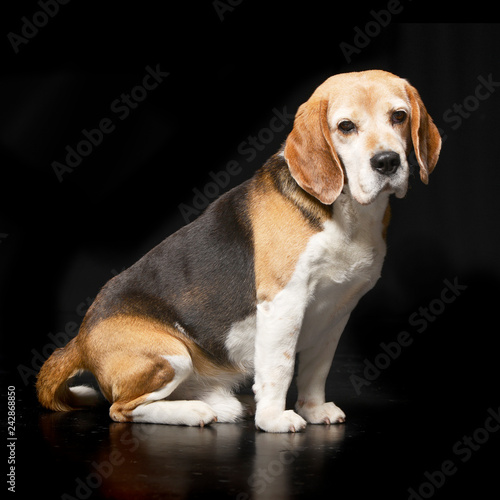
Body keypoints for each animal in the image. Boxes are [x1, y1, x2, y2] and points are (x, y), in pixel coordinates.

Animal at [36, 71, 442, 434]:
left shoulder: (337, 311)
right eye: (345, 126)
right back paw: (192, 412)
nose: (387, 161)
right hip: (170, 355)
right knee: (121, 410)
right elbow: (280, 368)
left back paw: (225, 406)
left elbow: (316, 368)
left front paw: (312, 409)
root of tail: (81, 338)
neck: (348, 214)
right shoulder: (284, 303)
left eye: (399, 116)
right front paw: (274, 419)